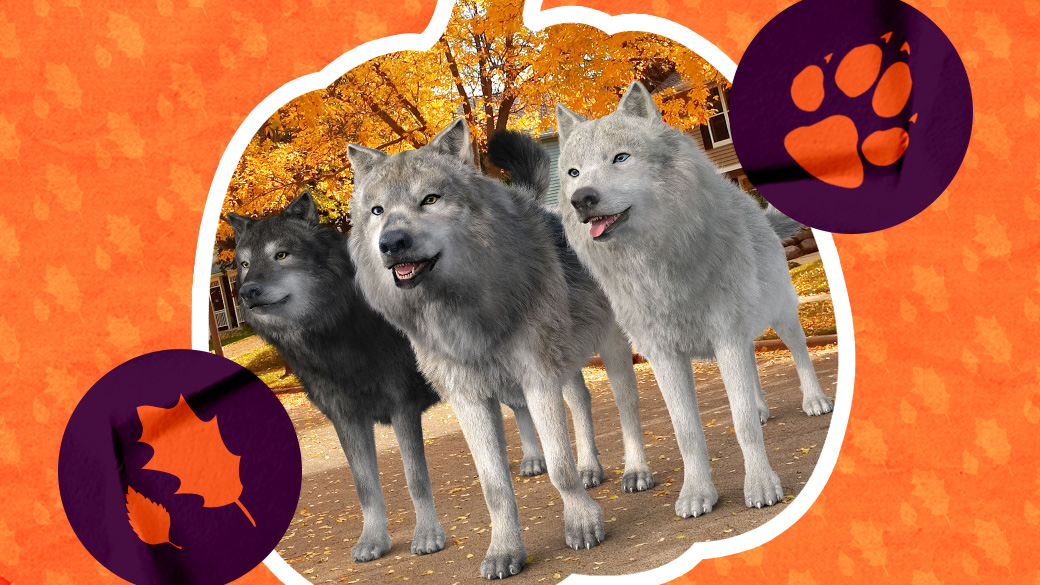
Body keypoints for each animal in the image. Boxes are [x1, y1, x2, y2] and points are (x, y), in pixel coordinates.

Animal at [346, 119, 653, 579]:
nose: (391, 243)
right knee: (581, 400)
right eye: (377, 211)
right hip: (564, 363)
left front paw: (581, 523)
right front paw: (505, 551)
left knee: (625, 404)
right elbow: (494, 487)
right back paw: (591, 468)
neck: (463, 313)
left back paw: (635, 472)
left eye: (429, 199)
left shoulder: (537, 379)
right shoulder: (469, 400)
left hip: (611, 348)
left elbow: (558, 466)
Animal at [553, 81, 835, 518]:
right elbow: (686, 432)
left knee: (800, 352)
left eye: (620, 158)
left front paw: (760, 486)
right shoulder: (665, 355)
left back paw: (815, 400)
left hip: (782, 317)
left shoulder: (726, 338)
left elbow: (741, 423)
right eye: (573, 172)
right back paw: (762, 407)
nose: (581, 198)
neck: (658, 267)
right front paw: (697, 494)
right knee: (754, 369)